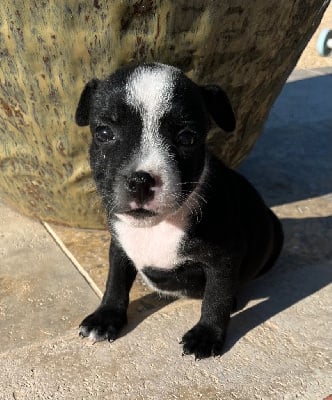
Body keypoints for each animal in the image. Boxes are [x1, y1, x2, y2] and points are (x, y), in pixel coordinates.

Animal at [75, 62, 282, 360]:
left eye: (187, 138)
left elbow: (216, 298)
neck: (161, 225)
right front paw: (106, 317)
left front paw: (206, 335)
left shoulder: (223, 260)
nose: (140, 180)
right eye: (104, 134)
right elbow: (115, 282)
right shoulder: (120, 245)